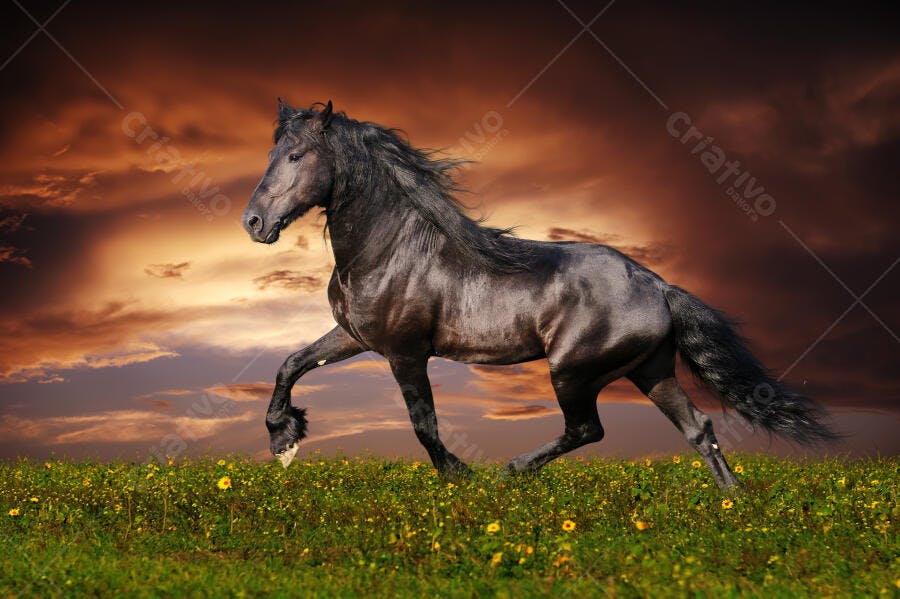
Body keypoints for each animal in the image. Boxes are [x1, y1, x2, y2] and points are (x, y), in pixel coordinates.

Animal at [241, 99, 835, 492]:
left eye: (296, 155)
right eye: (272, 152)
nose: (253, 223)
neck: (389, 249)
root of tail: (659, 286)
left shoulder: (405, 352)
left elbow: (423, 423)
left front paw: (461, 475)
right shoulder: (355, 336)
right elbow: (291, 363)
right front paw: (283, 440)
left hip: (572, 371)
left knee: (588, 429)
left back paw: (511, 471)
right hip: (651, 371)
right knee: (699, 428)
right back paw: (732, 502)